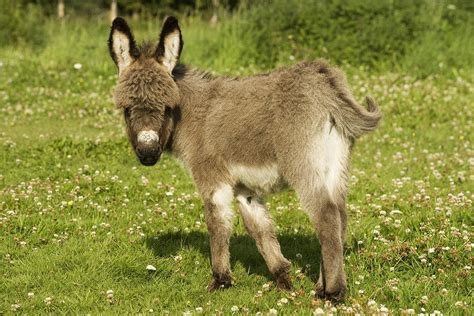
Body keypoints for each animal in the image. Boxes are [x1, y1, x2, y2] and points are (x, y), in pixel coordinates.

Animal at [108, 15, 382, 302]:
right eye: (126, 109)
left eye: (167, 107)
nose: (148, 153)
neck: (189, 116)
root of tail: (326, 84)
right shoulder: (244, 188)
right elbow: (260, 229)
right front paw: (283, 279)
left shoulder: (212, 178)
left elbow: (217, 224)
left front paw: (220, 281)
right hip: (335, 167)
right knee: (340, 217)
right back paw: (322, 285)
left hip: (304, 165)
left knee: (326, 216)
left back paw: (333, 292)